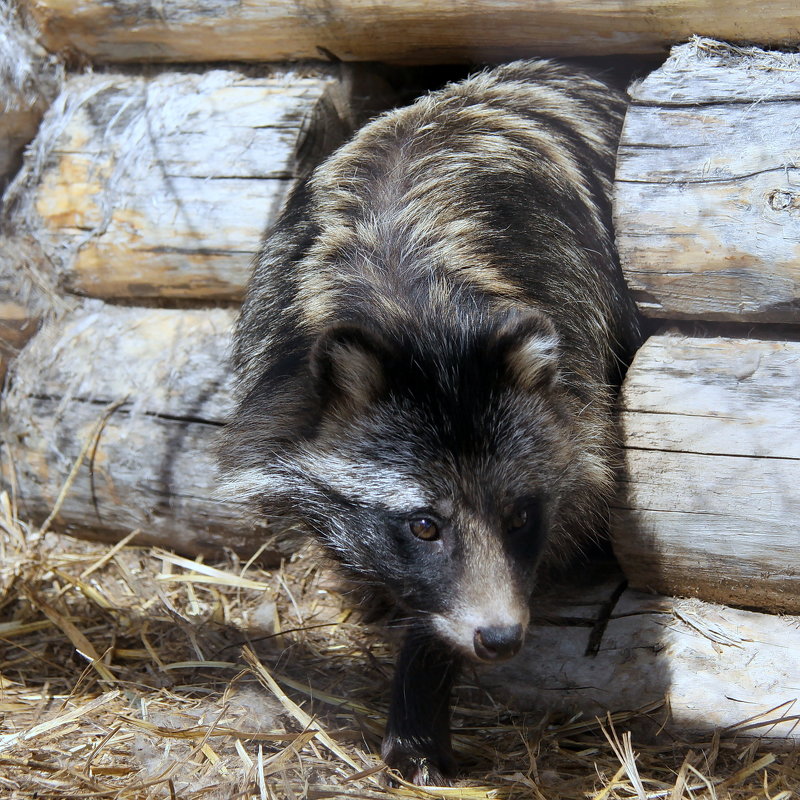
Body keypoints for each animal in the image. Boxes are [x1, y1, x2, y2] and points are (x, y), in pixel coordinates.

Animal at [217, 62, 636, 788]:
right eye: (423, 526)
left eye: (519, 517)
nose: (499, 638)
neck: (413, 307)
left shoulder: (581, 384)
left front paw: (421, 687)